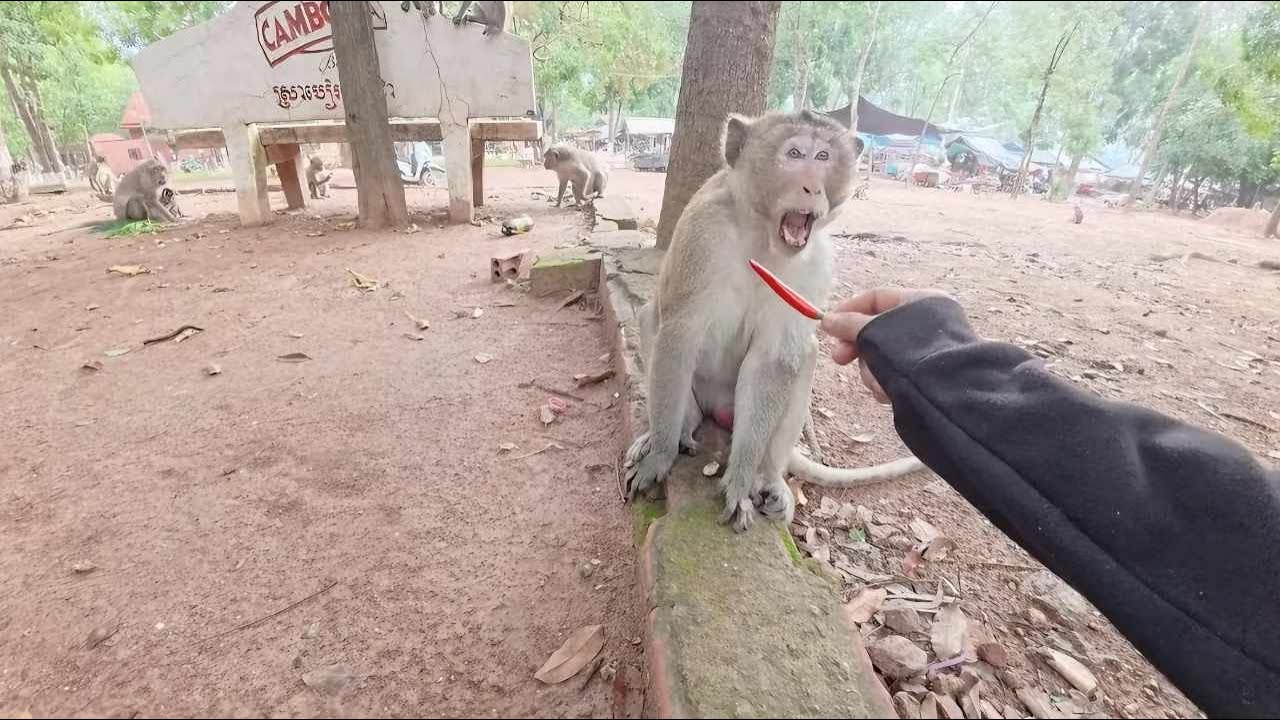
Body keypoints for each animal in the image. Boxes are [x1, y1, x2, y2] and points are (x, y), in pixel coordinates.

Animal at [623, 110, 924, 533]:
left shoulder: (816, 263)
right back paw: (676, 428)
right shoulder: (702, 231)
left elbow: (774, 358)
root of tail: (719, 409)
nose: (812, 187)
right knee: (655, 315)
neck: (761, 236)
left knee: (804, 353)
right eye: (794, 154)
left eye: (823, 156)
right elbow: (681, 331)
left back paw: (768, 478)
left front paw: (740, 482)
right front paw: (660, 457)